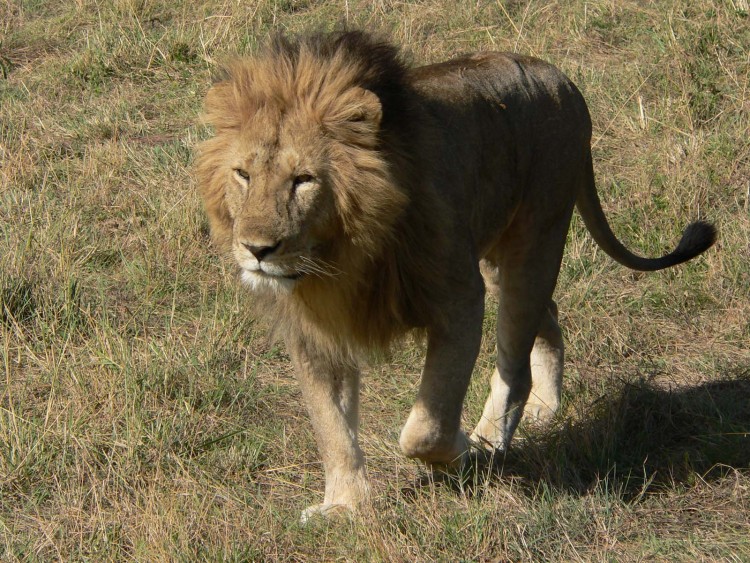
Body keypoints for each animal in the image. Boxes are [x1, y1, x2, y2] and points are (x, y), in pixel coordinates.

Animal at [197, 30, 720, 524]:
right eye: (243, 174)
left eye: (303, 180)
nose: (257, 249)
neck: (340, 259)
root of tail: (561, 79)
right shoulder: (315, 332)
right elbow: (332, 428)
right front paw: (345, 506)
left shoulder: (459, 299)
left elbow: (424, 427)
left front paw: (460, 453)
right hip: (494, 255)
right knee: (547, 317)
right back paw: (545, 407)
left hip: (536, 239)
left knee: (515, 360)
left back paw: (491, 441)